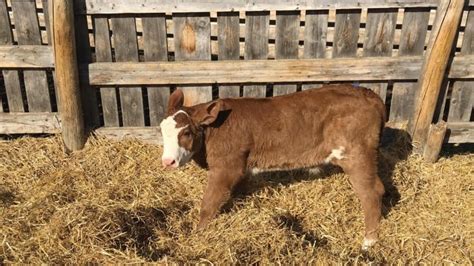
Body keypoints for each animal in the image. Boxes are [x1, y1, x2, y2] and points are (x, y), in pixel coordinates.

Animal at [161, 84, 386, 249]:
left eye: (186, 132)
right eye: (162, 130)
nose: (167, 161)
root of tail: (369, 94)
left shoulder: (226, 166)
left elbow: (208, 203)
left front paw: (197, 234)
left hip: (356, 154)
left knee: (371, 192)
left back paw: (368, 242)